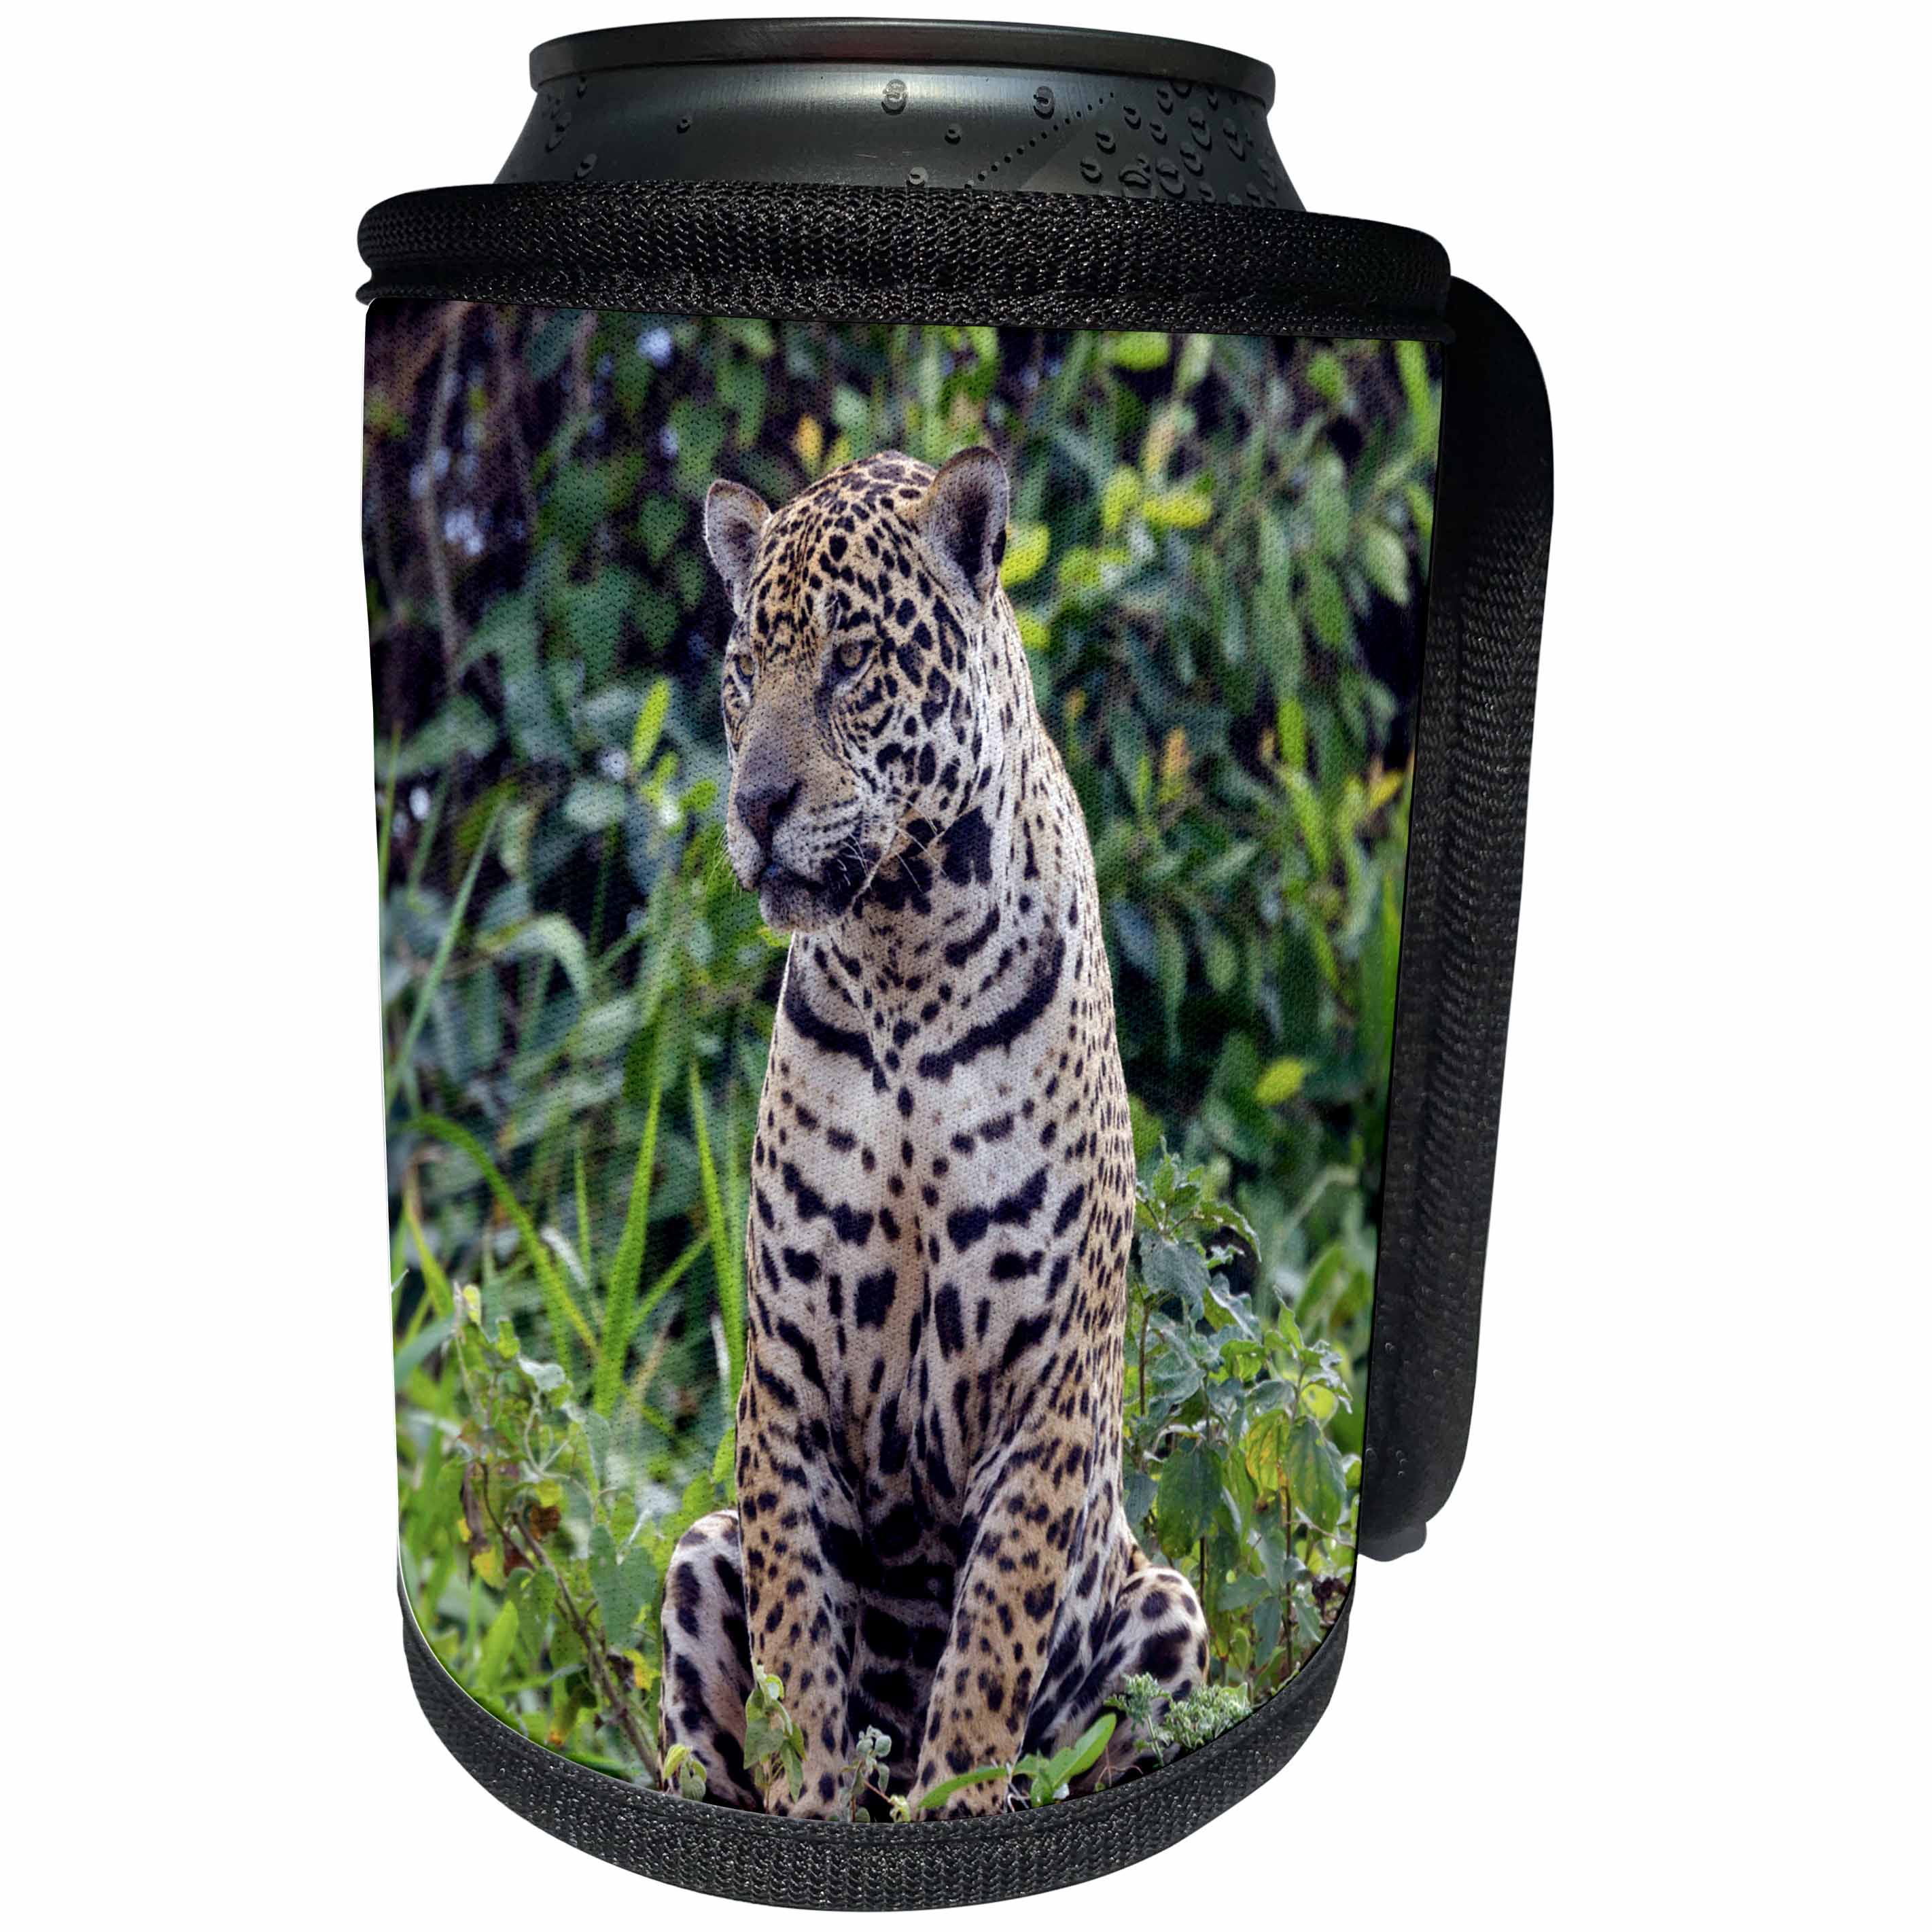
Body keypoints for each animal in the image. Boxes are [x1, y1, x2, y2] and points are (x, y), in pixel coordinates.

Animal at [659, 448, 1208, 1820]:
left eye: (852, 660)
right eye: (744, 667)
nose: (756, 804)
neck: (902, 953)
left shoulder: (1045, 1388)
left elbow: (990, 1643)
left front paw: (949, 1806)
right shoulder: (787, 1383)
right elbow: (801, 1656)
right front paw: (818, 1814)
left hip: (1166, 1604)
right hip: (697, 1551)